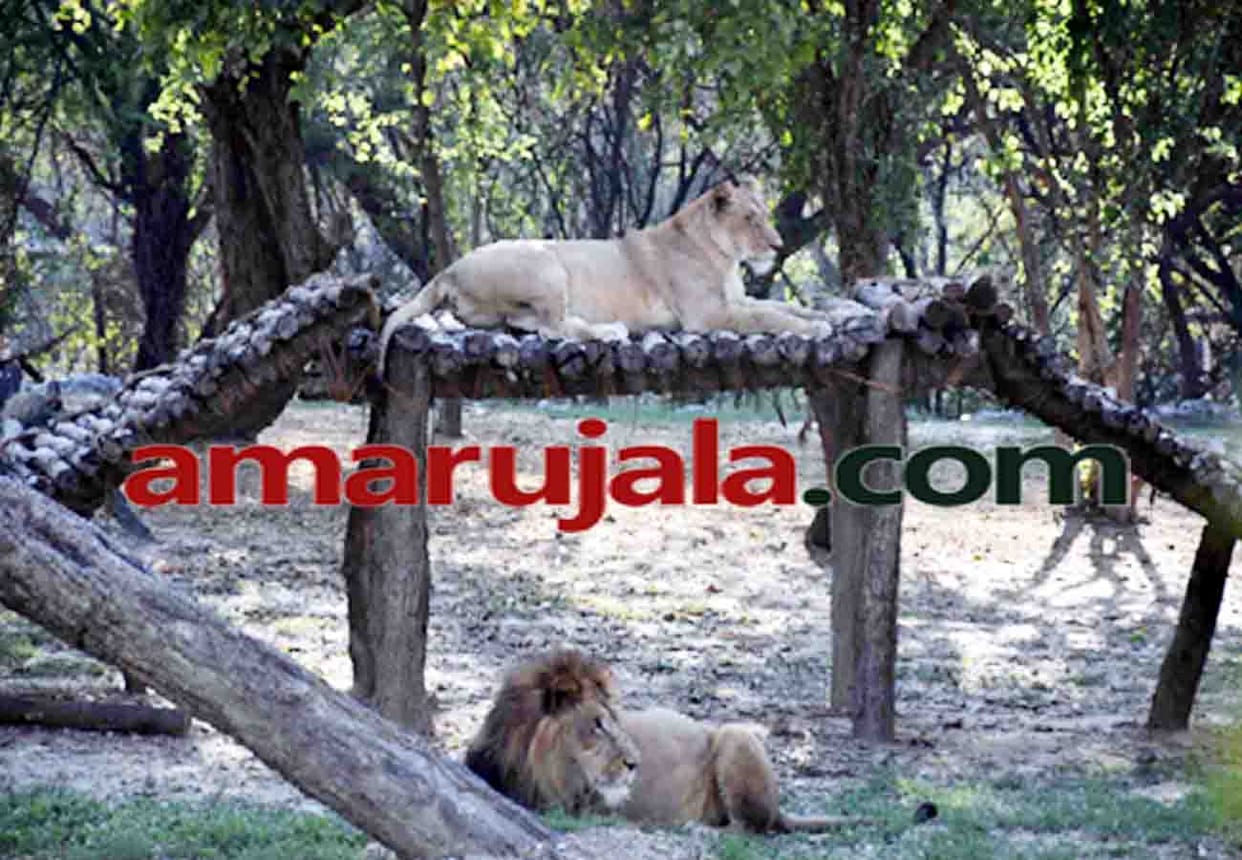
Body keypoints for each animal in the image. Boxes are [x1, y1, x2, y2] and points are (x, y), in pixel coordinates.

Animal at [378, 177, 836, 372]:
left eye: (766, 215)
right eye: (750, 219)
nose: (778, 245)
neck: (724, 259)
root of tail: (449, 269)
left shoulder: (736, 301)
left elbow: (781, 305)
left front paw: (823, 317)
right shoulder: (709, 316)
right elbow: (769, 315)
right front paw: (814, 330)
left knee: (531, 323)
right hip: (546, 263)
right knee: (551, 326)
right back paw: (610, 331)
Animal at [464, 650, 867, 833]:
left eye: (616, 721)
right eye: (597, 725)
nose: (635, 763)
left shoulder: (584, 809)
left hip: (735, 735)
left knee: (754, 826)